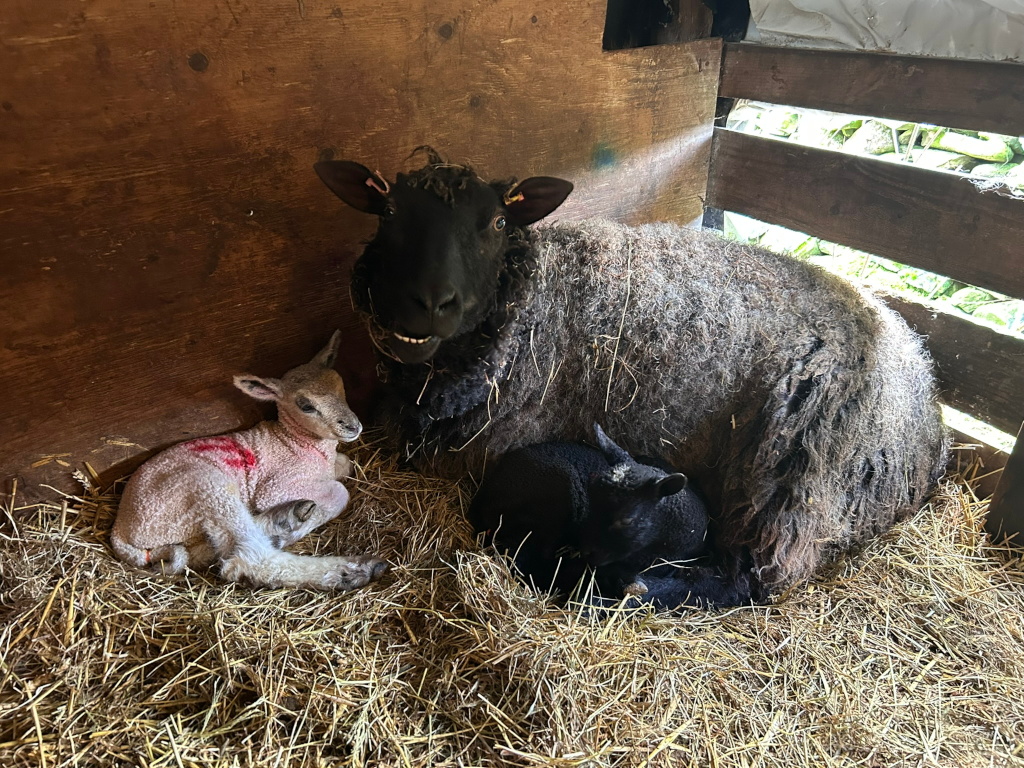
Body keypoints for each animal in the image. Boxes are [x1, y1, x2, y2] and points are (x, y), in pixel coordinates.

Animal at [110, 331, 388, 590]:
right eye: (306, 405)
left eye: (341, 386)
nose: (353, 426)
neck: (295, 440)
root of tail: (120, 530)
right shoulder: (276, 486)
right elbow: (339, 493)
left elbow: (345, 465)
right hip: (203, 488)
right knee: (247, 557)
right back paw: (350, 570)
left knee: (212, 549)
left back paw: (282, 523)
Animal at [471, 423, 735, 609]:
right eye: (591, 499)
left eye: (626, 520)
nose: (587, 551)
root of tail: (485, 493)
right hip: (555, 499)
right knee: (528, 561)